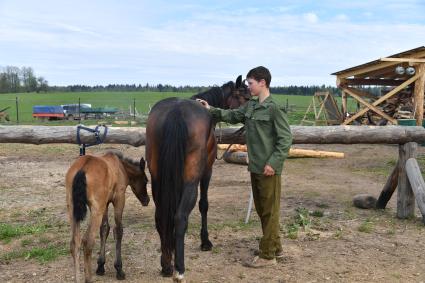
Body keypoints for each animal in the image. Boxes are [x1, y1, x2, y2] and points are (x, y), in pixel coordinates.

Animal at [64, 152, 147, 283]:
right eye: (146, 180)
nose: (146, 200)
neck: (121, 167)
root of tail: (82, 169)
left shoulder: (106, 203)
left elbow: (104, 229)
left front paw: (100, 266)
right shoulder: (119, 199)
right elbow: (118, 230)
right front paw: (119, 269)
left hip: (72, 208)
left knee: (74, 243)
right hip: (96, 209)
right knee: (87, 242)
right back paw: (88, 278)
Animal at [146, 75, 250, 282]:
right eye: (246, 95)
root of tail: (176, 113)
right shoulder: (207, 172)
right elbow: (204, 205)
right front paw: (205, 242)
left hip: (157, 180)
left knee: (161, 216)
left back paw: (166, 265)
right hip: (191, 181)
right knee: (180, 217)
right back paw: (179, 269)